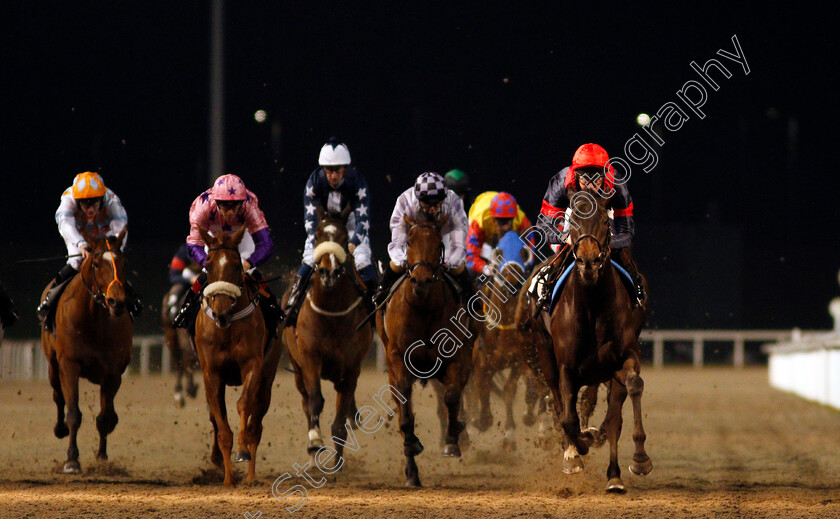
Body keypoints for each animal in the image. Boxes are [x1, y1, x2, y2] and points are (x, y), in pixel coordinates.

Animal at [40, 230, 132, 474]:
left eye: (123, 262)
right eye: (97, 264)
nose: (116, 302)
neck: (93, 319)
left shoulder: (113, 373)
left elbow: (105, 417)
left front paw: (102, 456)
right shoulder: (69, 364)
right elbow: (73, 412)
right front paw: (72, 459)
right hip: (53, 366)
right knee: (57, 396)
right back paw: (60, 428)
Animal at [193, 228, 278, 488]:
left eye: (235, 264)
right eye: (208, 264)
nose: (220, 313)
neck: (227, 328)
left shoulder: (253, 365)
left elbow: (243, 406)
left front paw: (242, 453)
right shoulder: (211, 373)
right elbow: (221, 425)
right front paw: (228, 478)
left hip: (267, 376)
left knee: (256, 424)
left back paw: (251, 476)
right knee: (215, 416)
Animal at [282, 209, 370, 470]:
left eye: (344, 237)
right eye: (319, 235)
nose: (328, 272)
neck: (331, 314)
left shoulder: (351, 366)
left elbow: (341, 416)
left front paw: (338, 461)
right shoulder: (310, 357)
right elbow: (315, 401)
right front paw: (314, 442)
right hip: (297, 367)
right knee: (305, 399)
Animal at [376, 214, 480, 488]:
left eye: (438, 243)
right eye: (409, 241)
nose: (421, 280)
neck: (422, 308)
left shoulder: (458, 357)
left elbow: (452, 397)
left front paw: (453, 441)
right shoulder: (396, 356)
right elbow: (405, 406)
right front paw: (412, 444)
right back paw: (412, 472)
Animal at [528, 189, 652, 494]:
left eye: (606, 223)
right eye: (572, 223)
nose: (588, 261)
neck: (593, 305)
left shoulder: (623, 358)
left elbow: (631, 390)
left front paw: (639, 460)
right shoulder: (566, 366)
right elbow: (567, 417)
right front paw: (577, 448)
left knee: (612, 416)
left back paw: (614, 475)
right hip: (544, 351)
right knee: (558, 402)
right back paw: (573, 450)